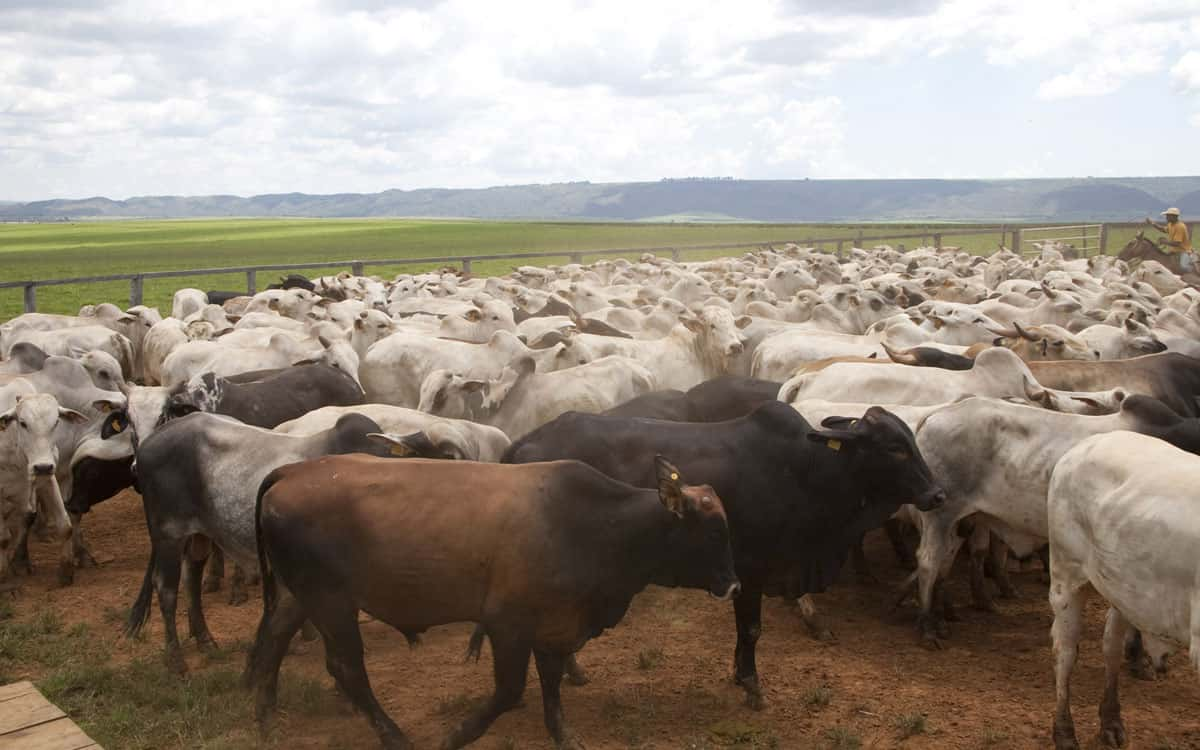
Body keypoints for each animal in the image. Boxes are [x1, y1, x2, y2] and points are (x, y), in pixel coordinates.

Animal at [246, 453, 739, 744]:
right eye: (715, 532)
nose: (734, 584)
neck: (592, 524)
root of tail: (292, 471)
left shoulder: (555, 625)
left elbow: (552, 683)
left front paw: (562, 733)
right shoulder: (509, 625)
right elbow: (509, 690)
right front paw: (458, 735)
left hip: (300, 595)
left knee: (273, 639)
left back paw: (266, 718)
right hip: (330, 600)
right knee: (346, 667)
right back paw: (393, 735)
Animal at [501, 400, 940, 705]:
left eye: (912, 441)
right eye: (896, 448)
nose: (938, 494)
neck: (808, 470)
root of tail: (521, 444)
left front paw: (738, 673)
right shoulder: (751, 568)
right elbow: (752, 630)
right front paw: (752, 685)